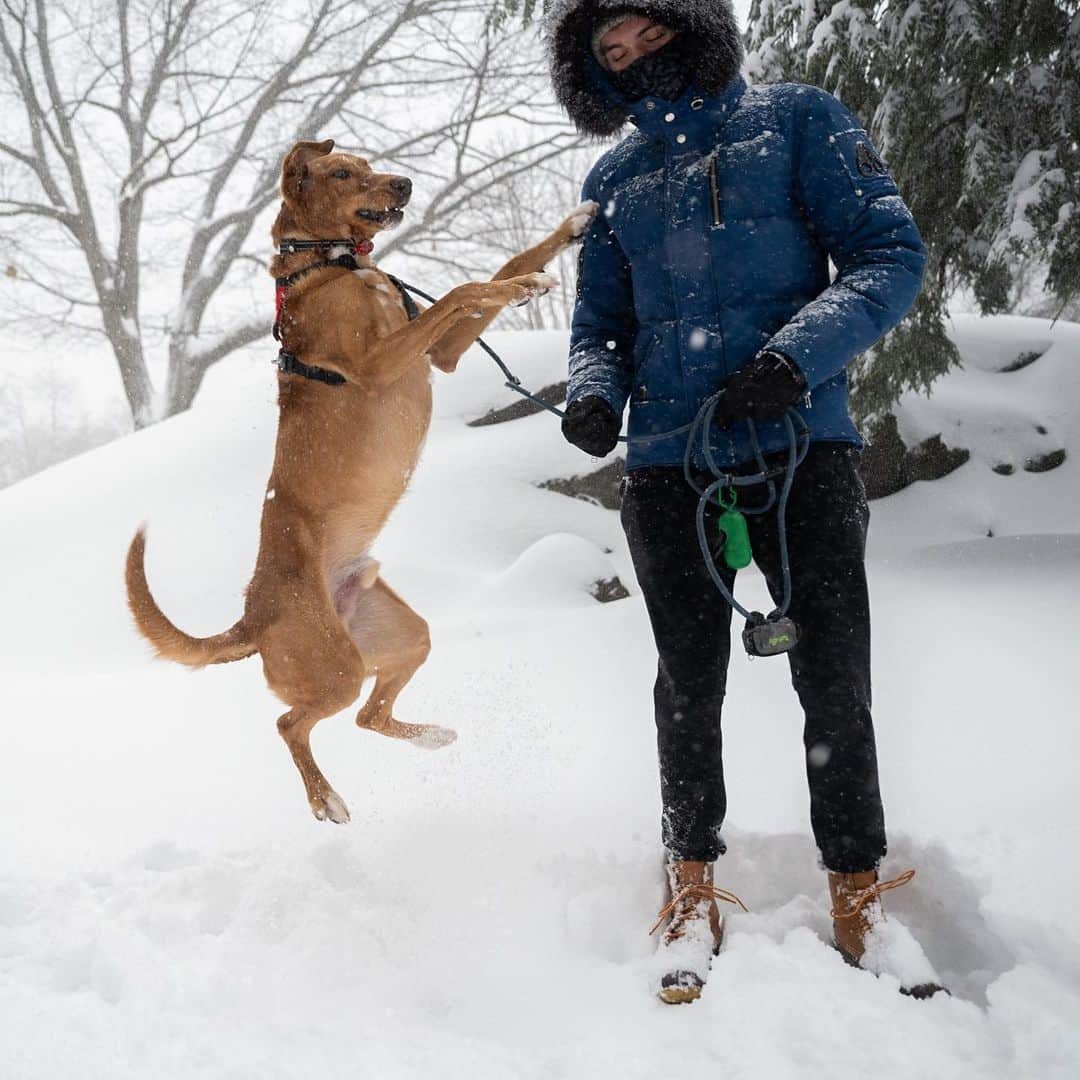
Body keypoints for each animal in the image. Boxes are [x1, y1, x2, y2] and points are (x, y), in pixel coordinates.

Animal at [128, 139, 600, 820]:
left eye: (370, 161)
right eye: (343, 171)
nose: (404, 183)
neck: (336, 266)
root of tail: (252, 619)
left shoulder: (439, 354)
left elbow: (495, 271)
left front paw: (569, 229)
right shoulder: (381, 361)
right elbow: (465, 287)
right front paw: (523, 286)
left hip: (402, 636)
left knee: (368, 718)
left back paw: (430, 736)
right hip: (337, 669)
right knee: (291, 723)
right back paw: (325, 796)